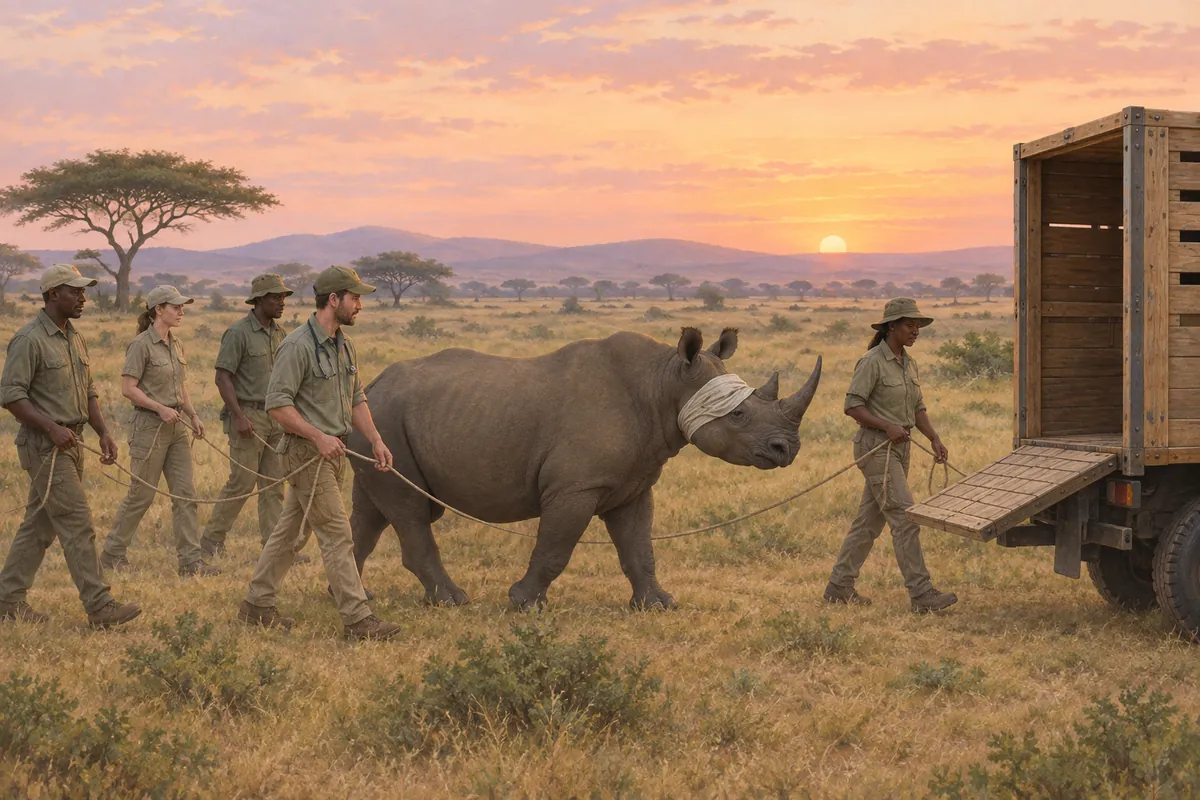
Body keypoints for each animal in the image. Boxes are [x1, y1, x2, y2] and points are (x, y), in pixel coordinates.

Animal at [347, 327, 821, 610]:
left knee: (371, 512)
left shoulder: (633, 486)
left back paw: (358, 595)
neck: (664, 383)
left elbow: (639, 549)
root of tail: (372, 384)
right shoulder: (576, 486)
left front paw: (657, 605)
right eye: (739, 414)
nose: (787, 448)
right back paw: (453, 601)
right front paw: (523, 604)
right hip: (386, 419)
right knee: (408, 510)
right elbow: (556, 547)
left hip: (377, 421)